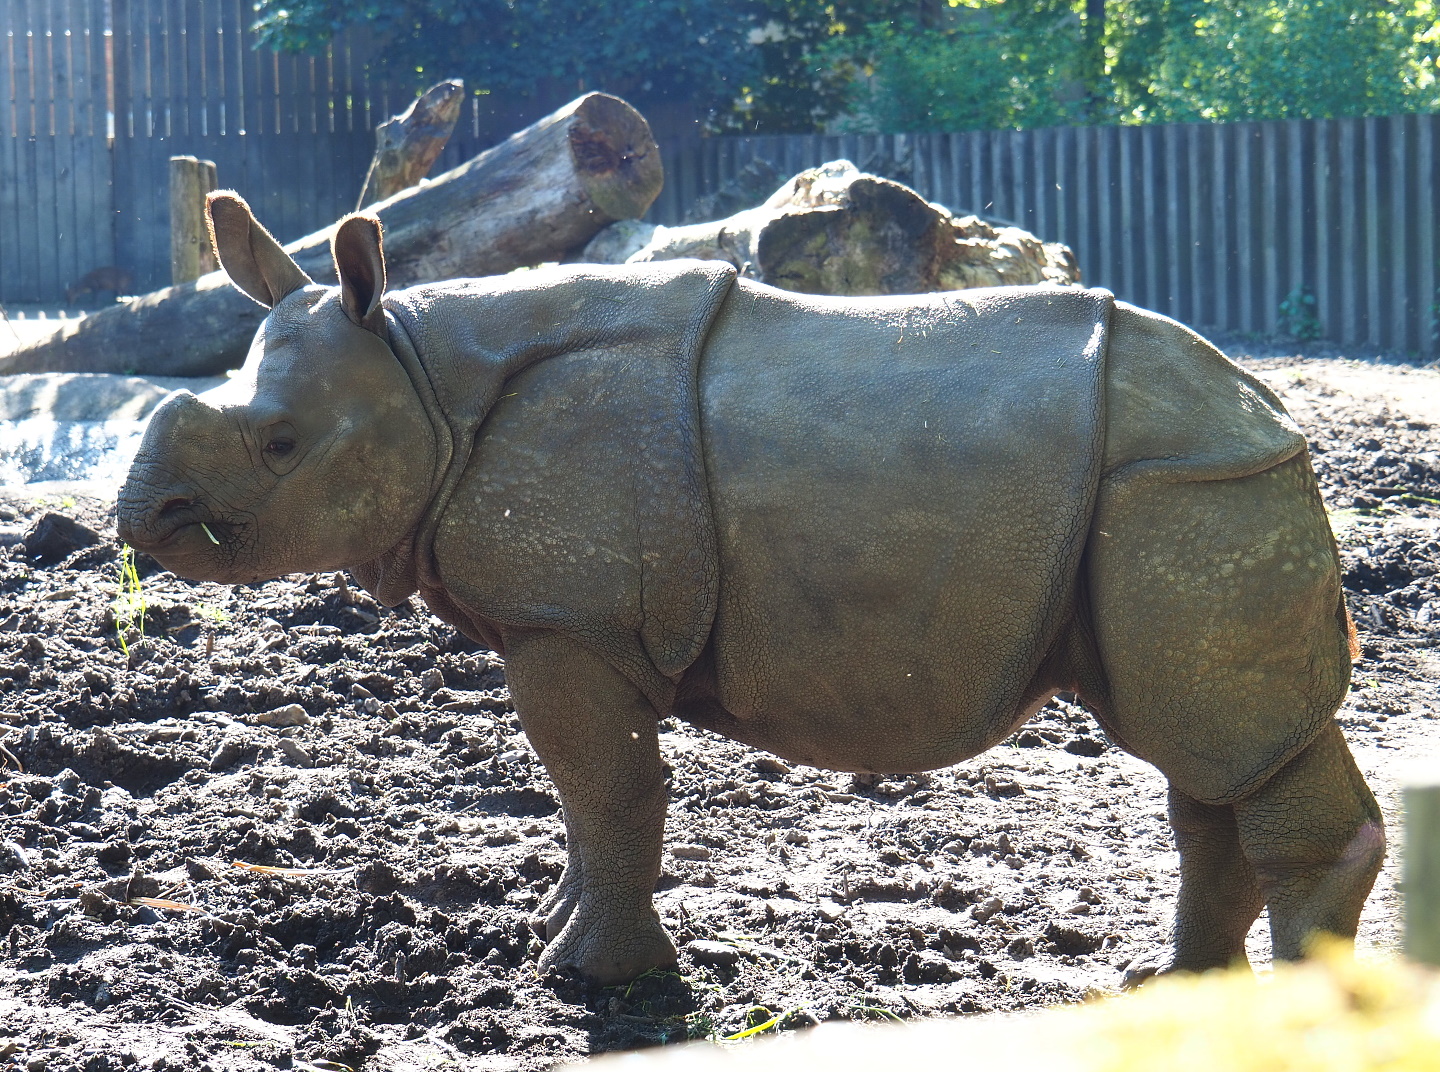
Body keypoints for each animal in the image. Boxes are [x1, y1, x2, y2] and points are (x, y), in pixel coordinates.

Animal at [117, 192, 1383, 987]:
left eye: (280, 445)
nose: (141, 518)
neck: (424, 372)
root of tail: (1273, 412)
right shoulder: (561, 623)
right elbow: (581, 798)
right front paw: (552, 931)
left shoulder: (570, 622)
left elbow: (608, 786)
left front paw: (588, 980)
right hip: (1165, 493)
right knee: (1200, 758)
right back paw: (1178, 993)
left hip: (1192, 491)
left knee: (1227, 744)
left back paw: (1295, 1008)